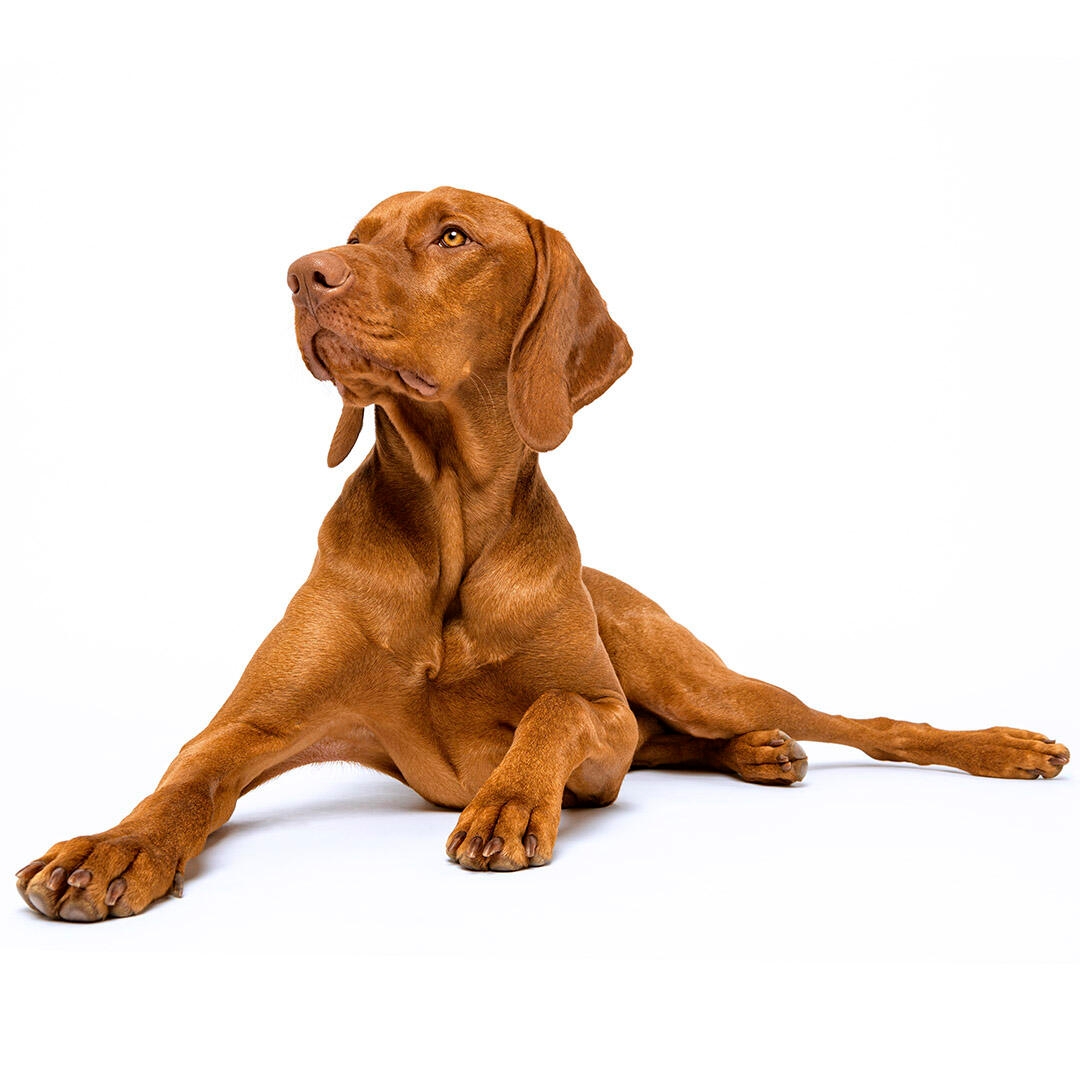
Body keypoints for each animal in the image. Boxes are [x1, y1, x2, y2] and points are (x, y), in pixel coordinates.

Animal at [19, 185, 1071, 920]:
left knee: (852, 722)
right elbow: (184, 784)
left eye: (452, 236)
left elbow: (555, 707)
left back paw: (997, 747)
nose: (304, 272)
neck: (449, 530)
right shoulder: (247, 725)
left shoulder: (598, 721)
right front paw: (109, 848)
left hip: (691, 676)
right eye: (356, 233)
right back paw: (758, 757)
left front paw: (509, 803)